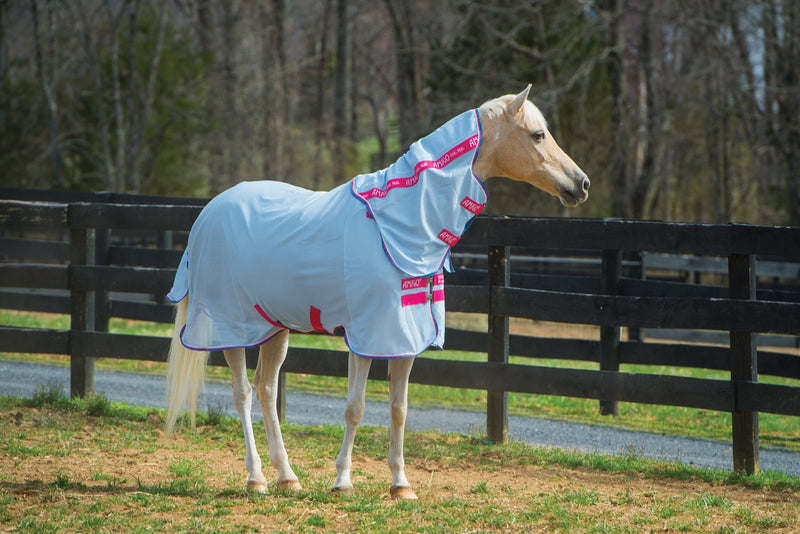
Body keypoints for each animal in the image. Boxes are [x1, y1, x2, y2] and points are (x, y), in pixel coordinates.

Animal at [164, 85, 589, 500]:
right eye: (538, 134)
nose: (581, 184)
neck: (398, 225)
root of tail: (207, 214)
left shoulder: (403, 338)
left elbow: (398, 408)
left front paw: (401, 484)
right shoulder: (366, 336)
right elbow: (356, 407)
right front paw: (343, 481)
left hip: (274, 326)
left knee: (267, 390)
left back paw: (287, 477)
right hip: (229, 327)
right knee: (242, 394)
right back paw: (256, 478)